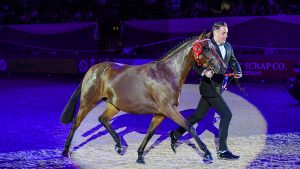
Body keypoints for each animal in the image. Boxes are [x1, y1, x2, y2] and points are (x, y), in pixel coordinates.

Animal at [60, 32, 225, 164]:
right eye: (206, 48)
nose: (222, 67)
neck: (168, 73)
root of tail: (92, 70)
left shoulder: (160, 113)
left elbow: (150, 132)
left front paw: (140, 156)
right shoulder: (169, 109)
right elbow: (189, 126)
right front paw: (207, 154)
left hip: (114, 106)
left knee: (103, 119)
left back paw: (119, 146)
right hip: (88, 102)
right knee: (76, 123)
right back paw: (65, 152)